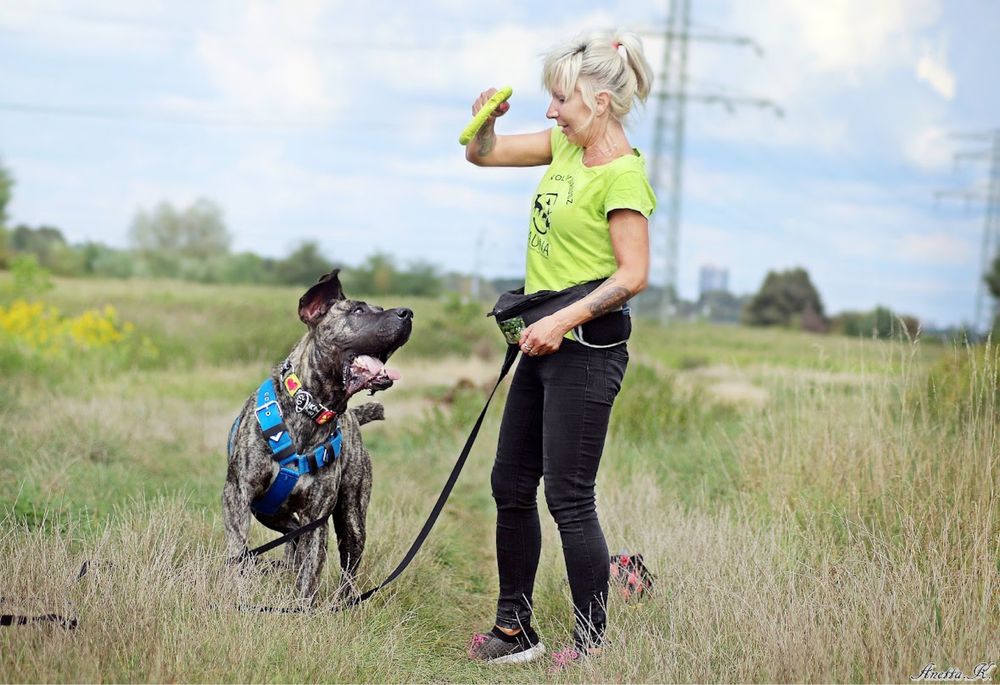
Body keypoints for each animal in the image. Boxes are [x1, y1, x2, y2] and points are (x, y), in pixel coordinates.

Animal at [225, 270, 412, 600]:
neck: (311, 408)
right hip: (269, 511)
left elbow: (310, 572)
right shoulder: (239, 494)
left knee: (347, 562)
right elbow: (238, 546)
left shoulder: (316, 517)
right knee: (290, 537)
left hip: (352, 517)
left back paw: (342, 601)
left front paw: (301, 606)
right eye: (358, 311)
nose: (408, 313)